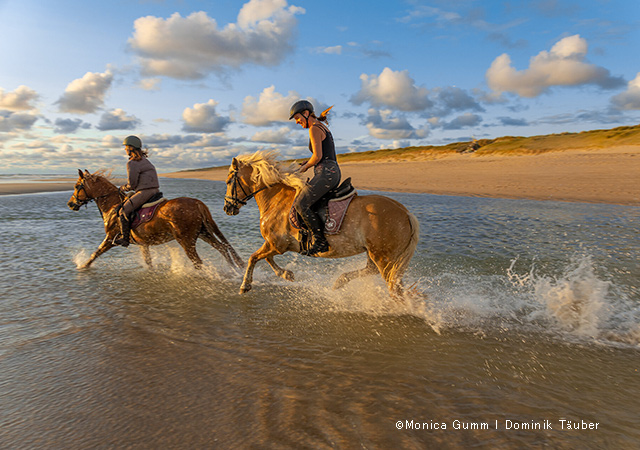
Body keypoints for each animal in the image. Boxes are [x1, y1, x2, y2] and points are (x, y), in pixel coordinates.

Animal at [68, 169, 244, 271]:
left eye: (76, 186)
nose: (70, 204)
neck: (113, 206)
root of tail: (196, 203)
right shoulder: (143, 244)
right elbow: (148, 262)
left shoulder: (111, 238)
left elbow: (95, 253)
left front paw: (82, 266)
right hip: (203, 232)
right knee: (222, 248)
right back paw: (233, 271)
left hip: (186, 241)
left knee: (199, 262)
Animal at [223, 151, 419, 296]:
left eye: (228, 181)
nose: (227, 208)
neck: (276, 200)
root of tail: (405, 212)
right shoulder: (275, 245)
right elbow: (266, 259)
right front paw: (287, 274)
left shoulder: (276, 244)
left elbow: (254, 257)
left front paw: (245, 285)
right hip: (375, 254)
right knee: (373, 272)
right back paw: (339, 282)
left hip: (383, 257)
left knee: (395, 290)